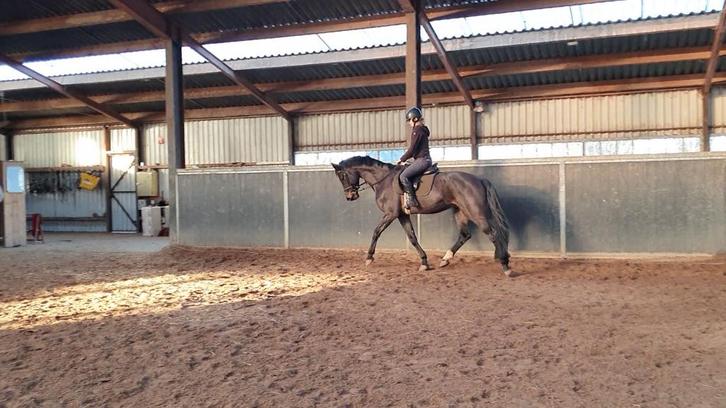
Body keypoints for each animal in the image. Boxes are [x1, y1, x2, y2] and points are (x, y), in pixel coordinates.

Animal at [332, 156, 514, 277]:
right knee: (465, 235)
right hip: (460, 212)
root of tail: (479, 179)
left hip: (476, 212)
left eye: (342, 175)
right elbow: (412, 237)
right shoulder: (402, 215)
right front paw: (424, 262)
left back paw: (505, 264)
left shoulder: (390, 214)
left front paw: (369, 258)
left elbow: (376, 232)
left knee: (493, 233)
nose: (350, 196)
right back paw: (445, 259)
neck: (383, 180)